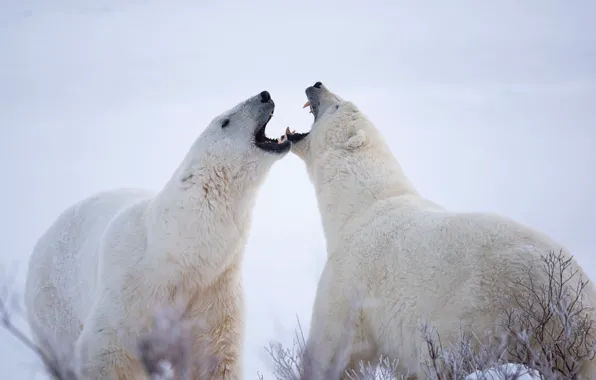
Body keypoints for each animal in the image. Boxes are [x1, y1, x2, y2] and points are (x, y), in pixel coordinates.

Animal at [25, 90, 292, 380]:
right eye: (225, 121)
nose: (264, 94)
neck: (178, 256)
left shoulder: (214, 293)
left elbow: (212, 358)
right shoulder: (126, 295)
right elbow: (110, 354)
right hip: (53, 307)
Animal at [286, 81, 596, 378]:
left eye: (337, 105)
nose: (317, 84)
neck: (358, 204)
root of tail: (580, 305)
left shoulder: (350, 280)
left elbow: (331, 348)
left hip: (490, 311)